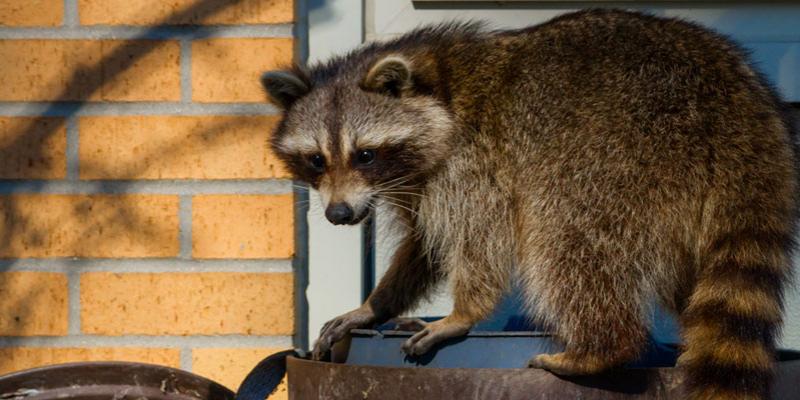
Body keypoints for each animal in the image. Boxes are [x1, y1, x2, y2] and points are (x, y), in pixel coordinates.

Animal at [260, 9, 792, 400]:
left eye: (365, 154)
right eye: (315, 159)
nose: (339, 215)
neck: (438, 84)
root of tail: (736, 101)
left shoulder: (472, 162)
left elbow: (479, 238)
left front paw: (464, 313)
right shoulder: (418, 182)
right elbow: (425, 246)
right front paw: (376, 305)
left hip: (621, 153)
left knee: (566, 238)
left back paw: (601, 348)